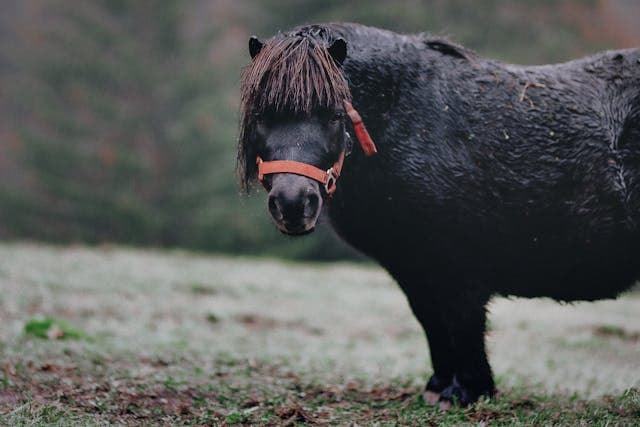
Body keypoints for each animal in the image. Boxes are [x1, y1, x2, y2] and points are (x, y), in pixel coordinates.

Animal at [237, 23, 640, 406]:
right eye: (260, 115)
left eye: (335, 115)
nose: (292, 204)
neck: (411, 120)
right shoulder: (416, 268)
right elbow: (433, 324)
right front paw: (439, 388)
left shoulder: (460, 269)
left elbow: (463, 325)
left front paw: (468, 392)